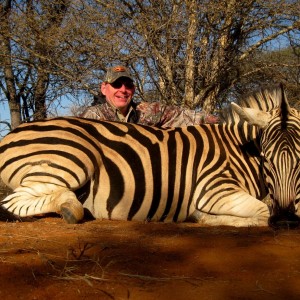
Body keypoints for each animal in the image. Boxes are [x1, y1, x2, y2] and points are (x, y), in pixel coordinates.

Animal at [0, 85, 298, 227]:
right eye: (267, 158)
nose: (285, 219)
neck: (241, 149)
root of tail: (12, 133)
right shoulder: (213, 189)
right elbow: (261, 212)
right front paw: (200, 217)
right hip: (74, 159)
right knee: (12, 202)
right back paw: (71, 207)